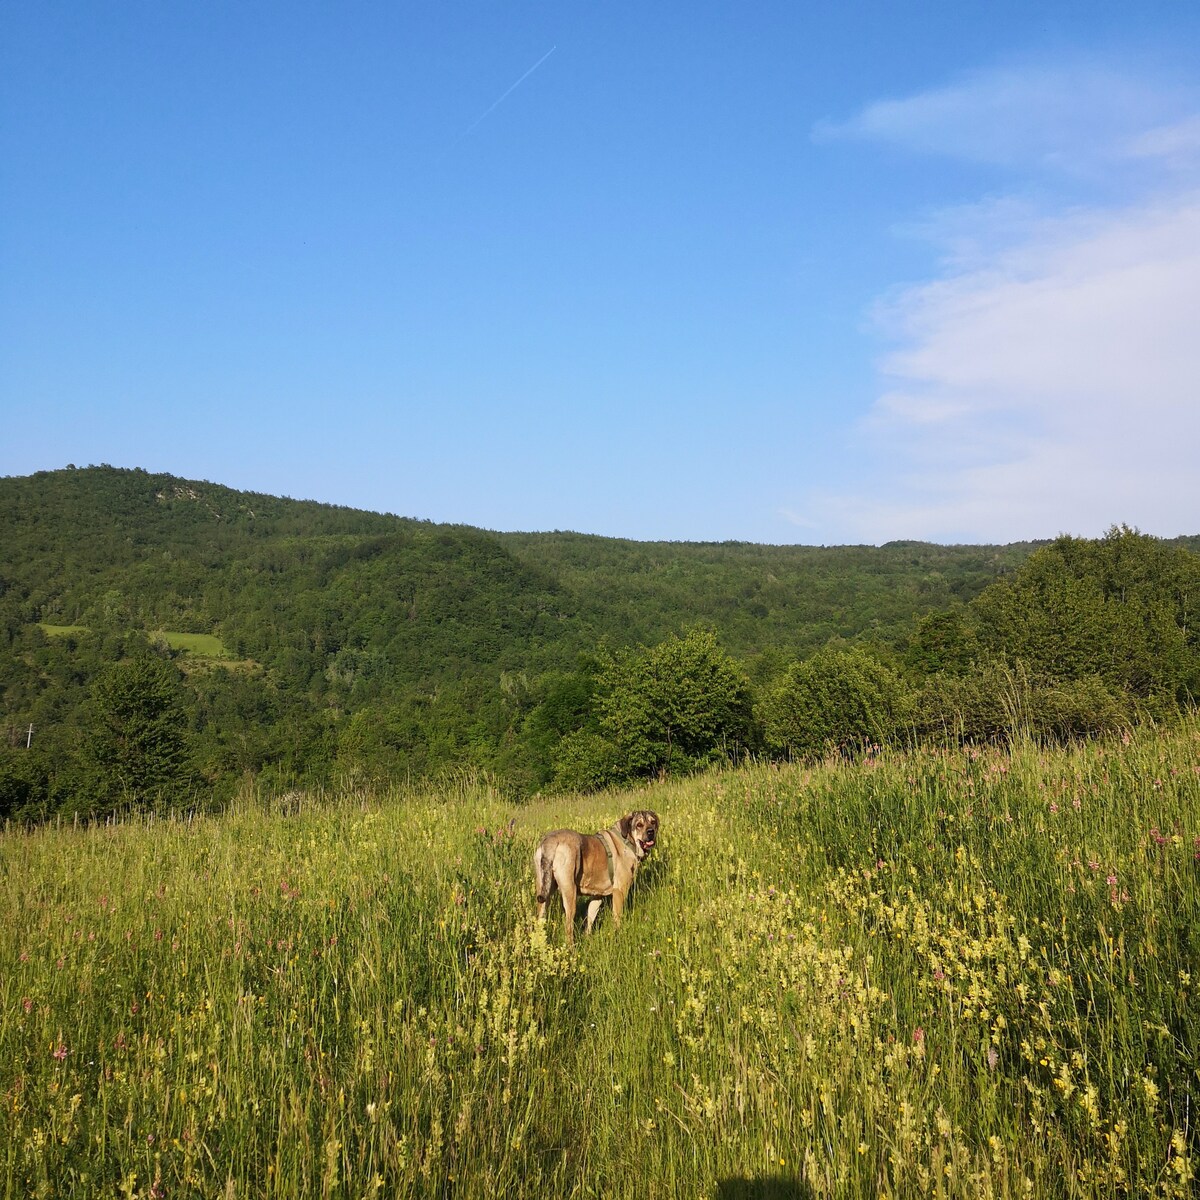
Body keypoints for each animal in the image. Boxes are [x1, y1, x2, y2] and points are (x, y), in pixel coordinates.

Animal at [537, 811, 667, 940]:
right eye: (639, 825)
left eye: (653, 822)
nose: (651, 831)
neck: (628, 840)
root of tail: (551, 840)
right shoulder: (619, 891)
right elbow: (617, 917)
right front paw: (617, 936)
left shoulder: (597, 896)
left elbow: (590, 918)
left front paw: (588, 938)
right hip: (570, 891)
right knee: (568, 927)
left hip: (544, 890)